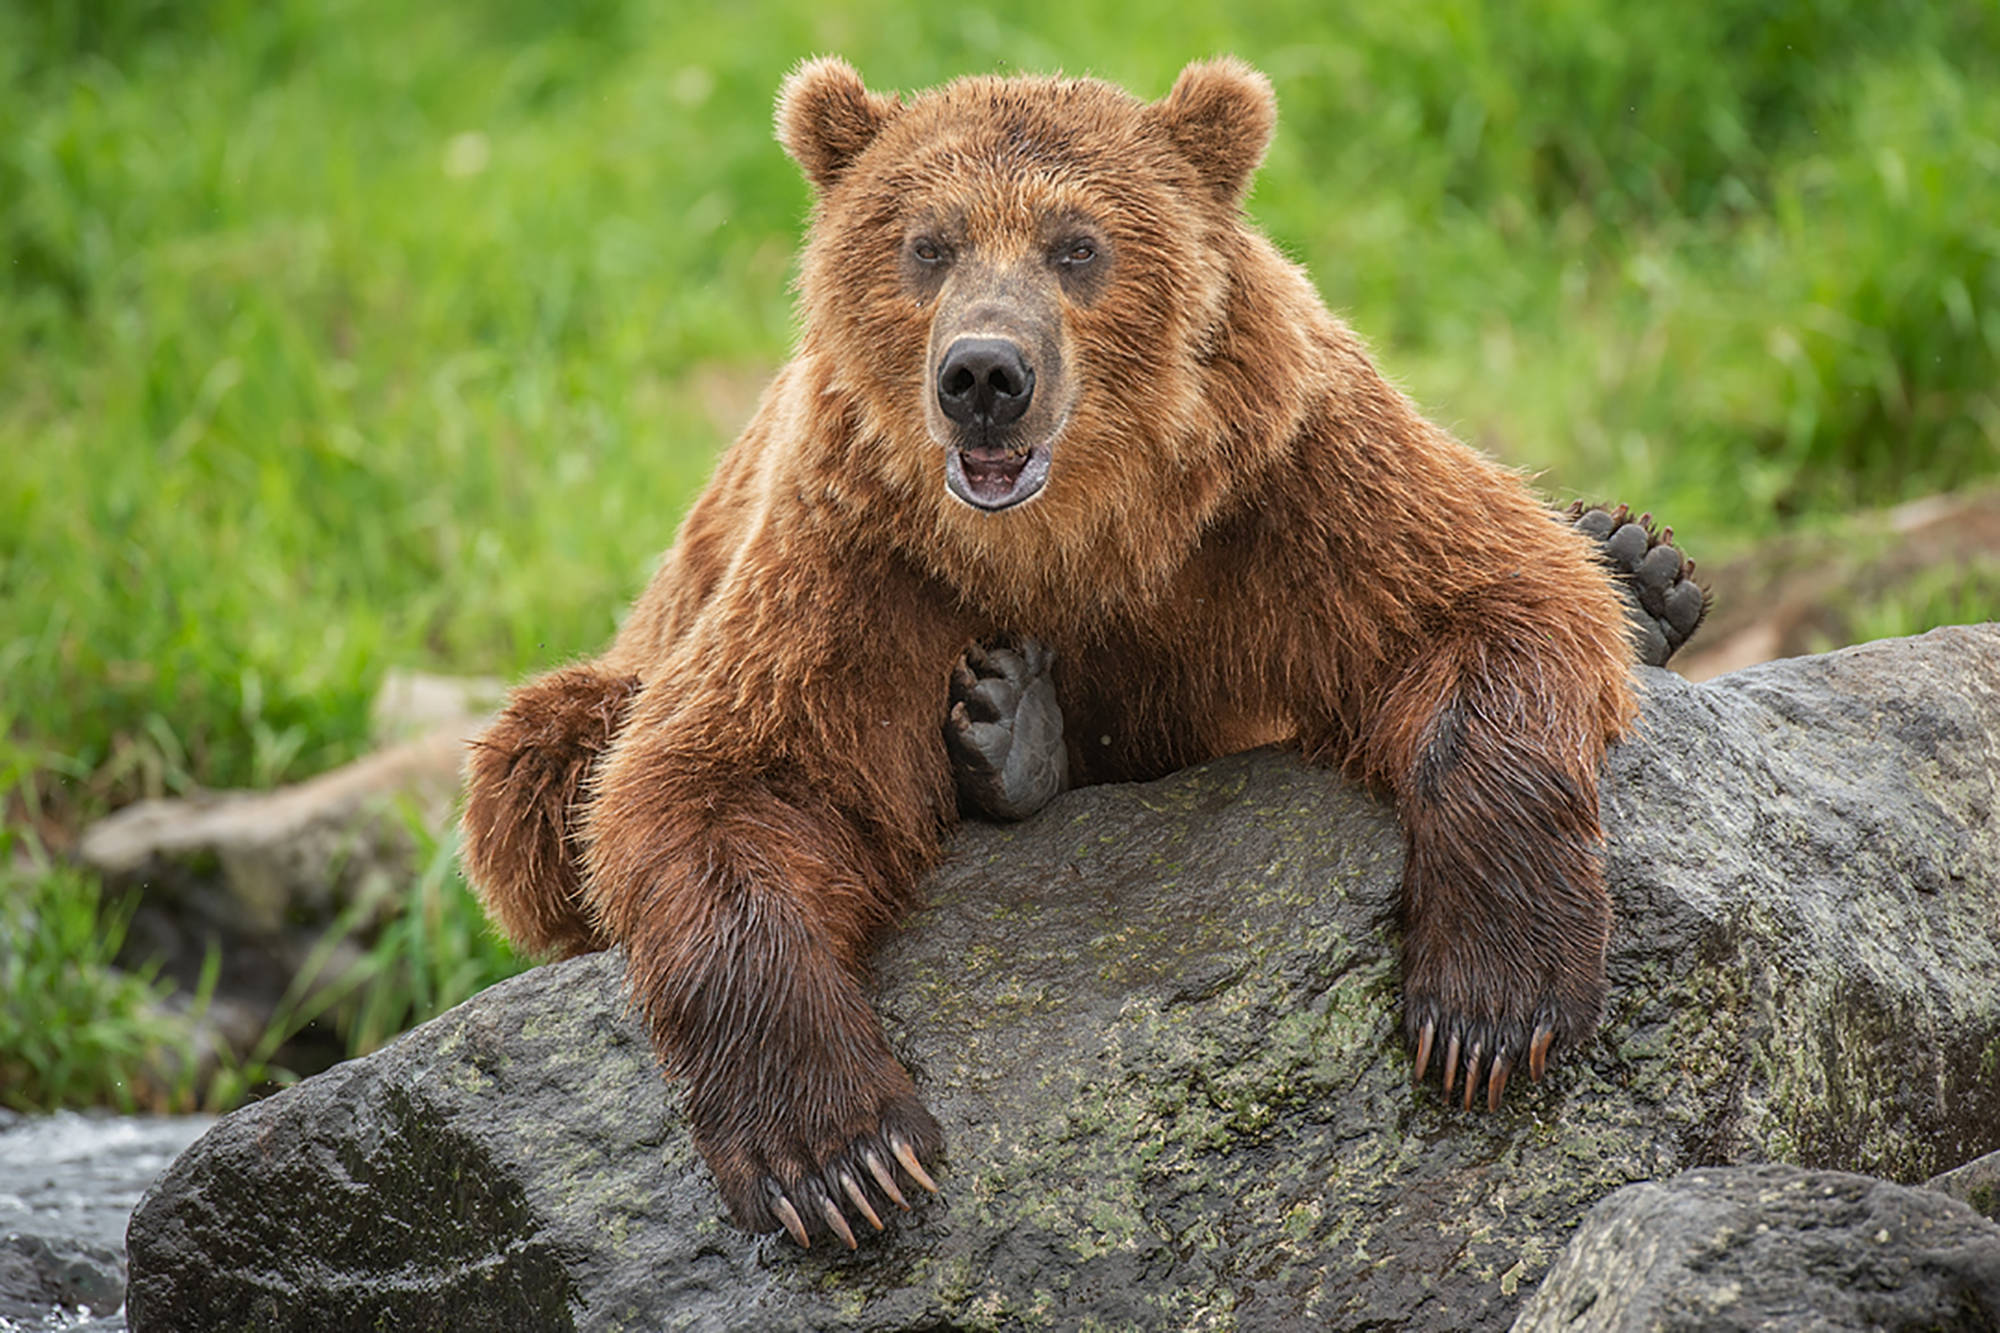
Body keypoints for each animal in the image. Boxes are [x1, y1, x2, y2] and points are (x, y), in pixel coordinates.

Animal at [462, 57, 1707, 1250]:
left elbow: (1490, 606)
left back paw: (1637, 570)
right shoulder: (859, 553)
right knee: (541, 757)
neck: (1064, 539)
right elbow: (724, 780)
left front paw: (1488, 1007)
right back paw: (1012, 733)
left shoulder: (1284, 475)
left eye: (1077, 244)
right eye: (926, 244)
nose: (981, 375)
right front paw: (840, 1158)